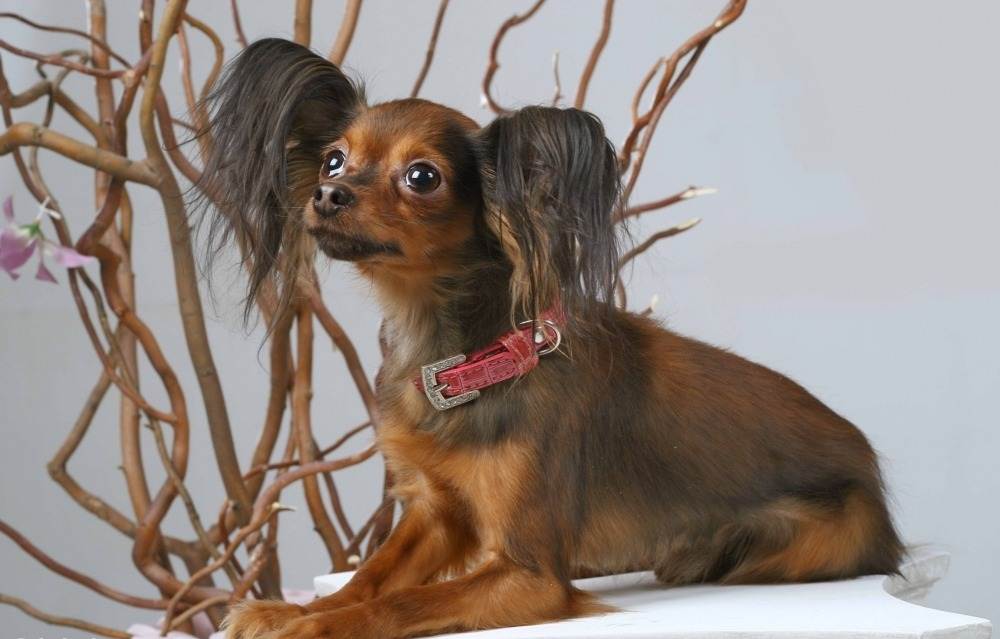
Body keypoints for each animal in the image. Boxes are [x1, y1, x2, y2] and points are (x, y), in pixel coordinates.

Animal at [199, 38, 903, 639]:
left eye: (422, 177)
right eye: (334, 160)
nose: (327, 193)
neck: (462, 355)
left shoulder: (527, 575)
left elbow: (403, 601)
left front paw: (310, 625)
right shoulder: (434, 513)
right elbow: (370, 579)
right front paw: (292, 609)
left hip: (815, 539)